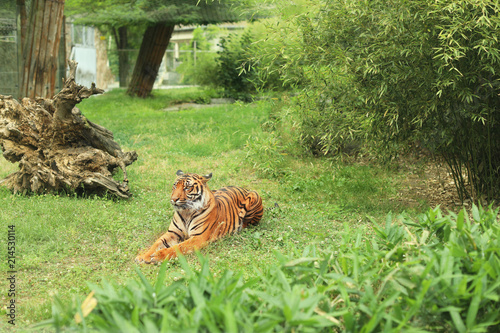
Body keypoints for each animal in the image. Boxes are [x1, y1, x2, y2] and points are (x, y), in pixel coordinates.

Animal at [135, 170, 264, 264]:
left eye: (187, 187)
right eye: (175, 186)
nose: (173, 199)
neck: (186, 212)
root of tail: (243, 188)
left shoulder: (198, 237)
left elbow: (178, 247)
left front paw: (158, 256)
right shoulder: (172, 233)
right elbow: (156, 243)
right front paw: (143, 256)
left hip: (255, 195)